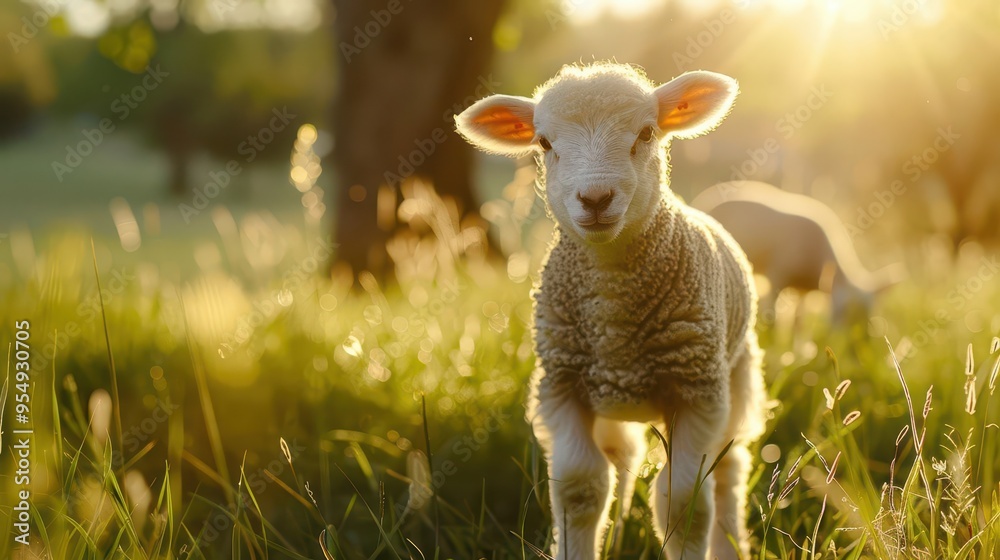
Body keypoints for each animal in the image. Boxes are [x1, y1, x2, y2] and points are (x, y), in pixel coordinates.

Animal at [456, 62, 766, 560]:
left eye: (647, 132)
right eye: (544, 143)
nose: (596, 198)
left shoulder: (698, 393)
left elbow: (683, 502)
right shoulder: (561, 387)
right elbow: (580, 490)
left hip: (736, 377)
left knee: (728, 473)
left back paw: (731, 544)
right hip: (610, 402)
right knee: (623, 462)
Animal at [691, 181, 904, 324]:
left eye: (870, 317)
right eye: (840, 311)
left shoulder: (803, 290)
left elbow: (798, 322)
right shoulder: (778, 273)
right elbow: (773, 314)